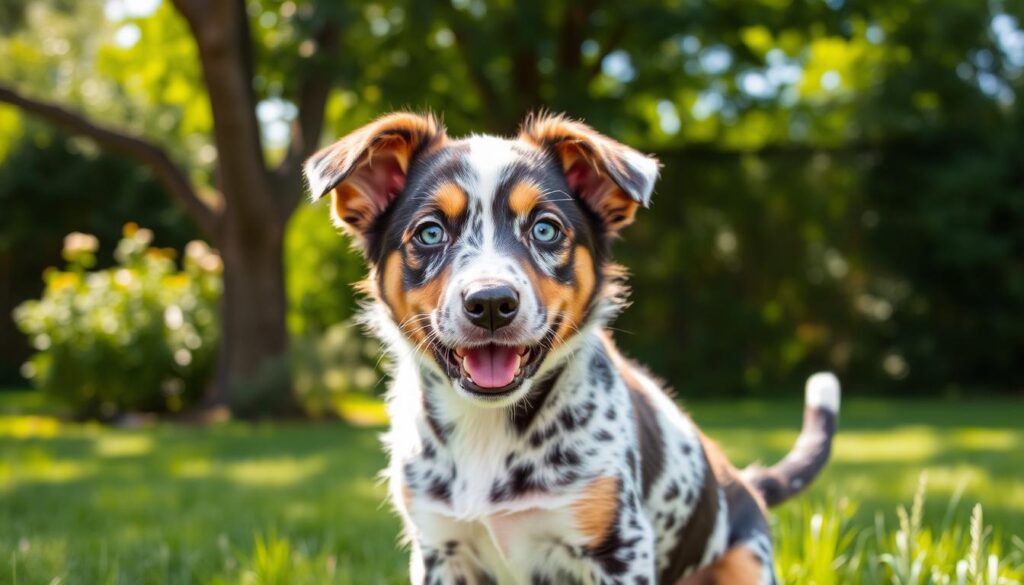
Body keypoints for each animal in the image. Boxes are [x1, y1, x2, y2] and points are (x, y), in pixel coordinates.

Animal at [303, 112, 839, 581]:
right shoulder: (440, 548)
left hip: (747, 560)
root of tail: (745, 482)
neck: (488, 431)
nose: (491, 303)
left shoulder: (617, 548)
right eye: (430, 232)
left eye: (545, 228)